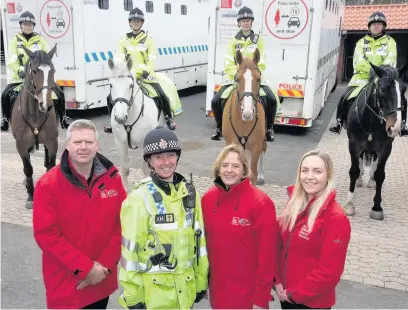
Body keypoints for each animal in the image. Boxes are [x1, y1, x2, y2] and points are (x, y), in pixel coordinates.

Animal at [10, 44, 59, 209]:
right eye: (35, 70)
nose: (46, 105)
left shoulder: (52, 142)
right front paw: (31, 196)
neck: (35, 114)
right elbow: (28, 168)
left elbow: (50, 166)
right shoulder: (21, 145)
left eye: (52, 70)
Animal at [108, 57, 167, 189]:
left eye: (130, 85)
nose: (120, 118)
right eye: (110, 85)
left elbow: (146, 170)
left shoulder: (146, 143)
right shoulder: (120, 143)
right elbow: (125, 169)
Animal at [222, 48, 266, 184]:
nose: (248, 112)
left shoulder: (256, 147)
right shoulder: (232, 144)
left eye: (258, 79)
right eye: (237, 79)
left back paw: (262, 175)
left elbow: (253, 174)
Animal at [344, 63, 404, 220]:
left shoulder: (385, 148)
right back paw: (360, 180)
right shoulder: (354, 144)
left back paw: (370, 181)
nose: (395, 127)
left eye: (404, 90)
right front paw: (349, 205)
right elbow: (354, 170)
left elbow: (379, 175)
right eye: (382, 89)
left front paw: (377, 207)